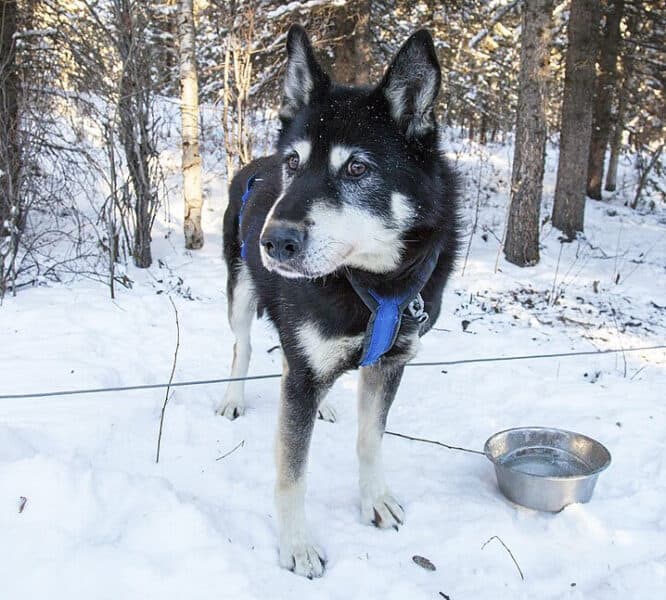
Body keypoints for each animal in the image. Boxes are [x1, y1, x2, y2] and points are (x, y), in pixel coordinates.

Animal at [217, 27, 456, 576]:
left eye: (358, 168)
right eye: (293, 163)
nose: (274, 241)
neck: (372, 285)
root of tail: (252, 163)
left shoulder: (389, 363)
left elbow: (371, 438)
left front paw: (375, 499)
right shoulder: (304, 374)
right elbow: (292, 472)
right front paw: (297, 544)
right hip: (239, 293)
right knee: (243, 348)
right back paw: (235, 396)